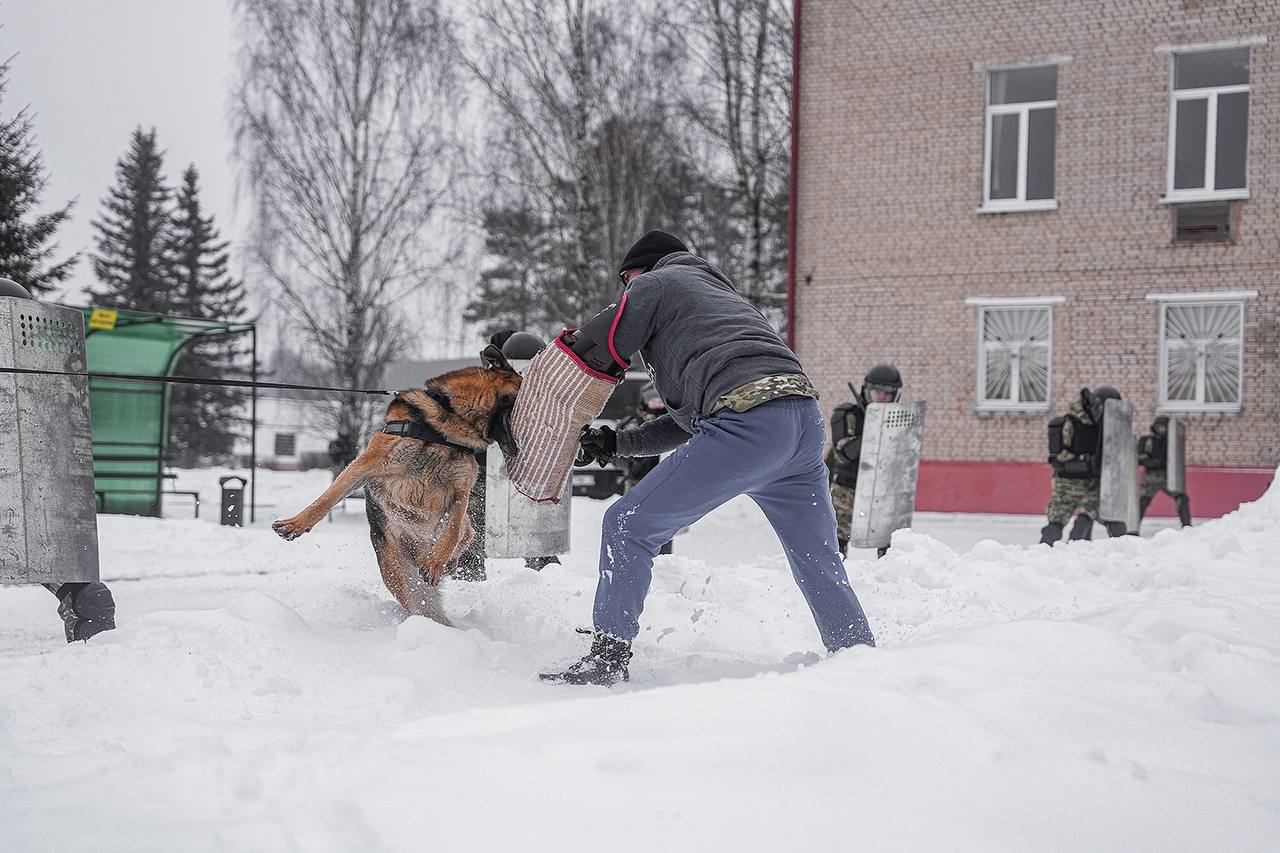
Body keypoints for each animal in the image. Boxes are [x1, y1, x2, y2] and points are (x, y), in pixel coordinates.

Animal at [273, 345, 519, 617]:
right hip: (397, 575)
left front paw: (437, 562)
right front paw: (295, 524)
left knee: (466, 532)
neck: (448, 422)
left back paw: (446, 565)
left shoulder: (460, 491)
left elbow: (452, 531)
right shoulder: (368, 463)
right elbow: (327, 497)